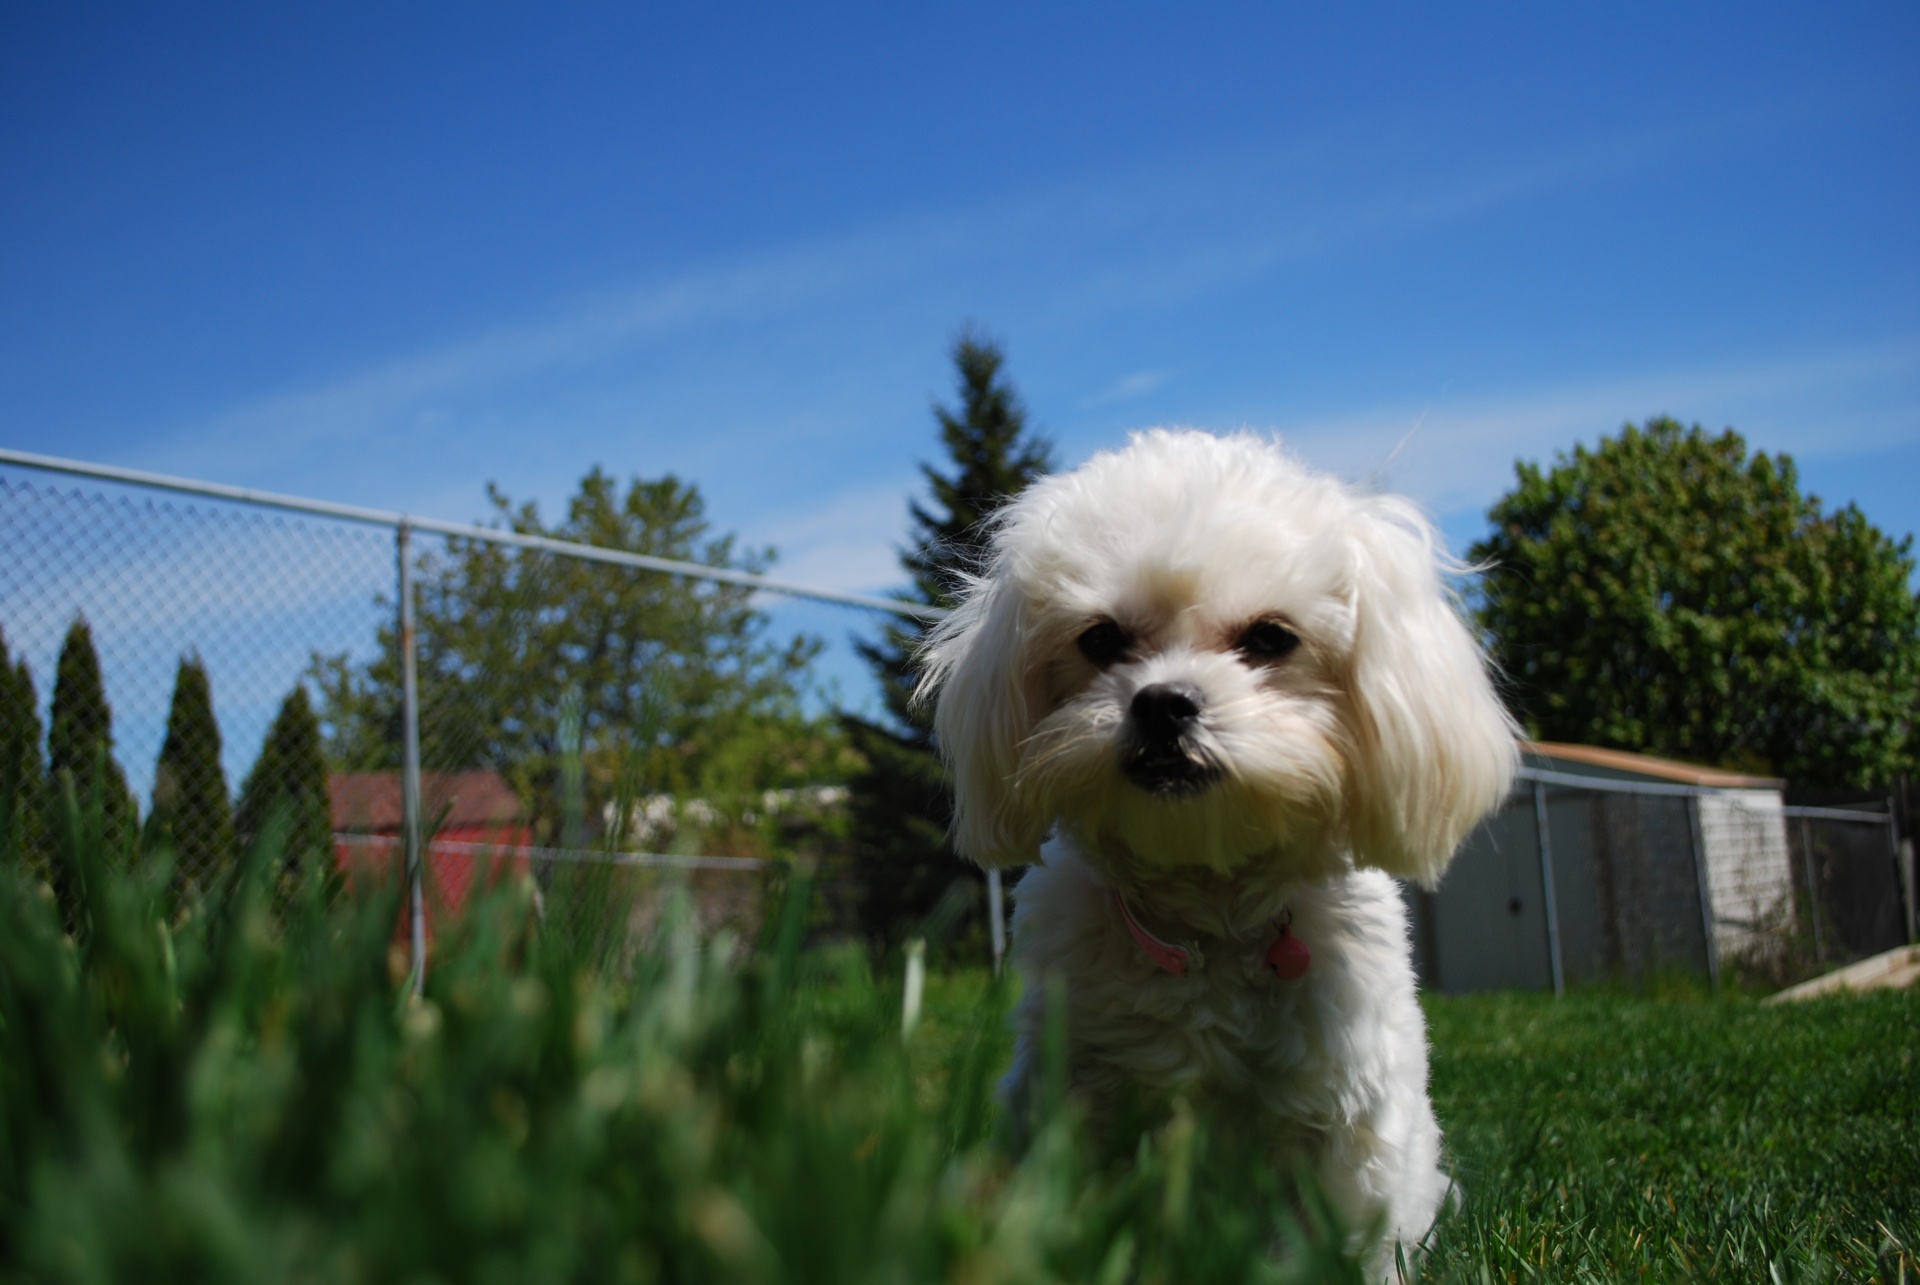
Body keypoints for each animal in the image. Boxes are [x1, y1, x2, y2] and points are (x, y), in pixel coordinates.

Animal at [921, 430, 1520, 1260]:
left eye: (1270, 637)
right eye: (1101, 638)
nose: (1162, 703)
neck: (1206, 914)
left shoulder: (1348, 1124)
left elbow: (1342, 1248)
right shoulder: (1071, 1101)